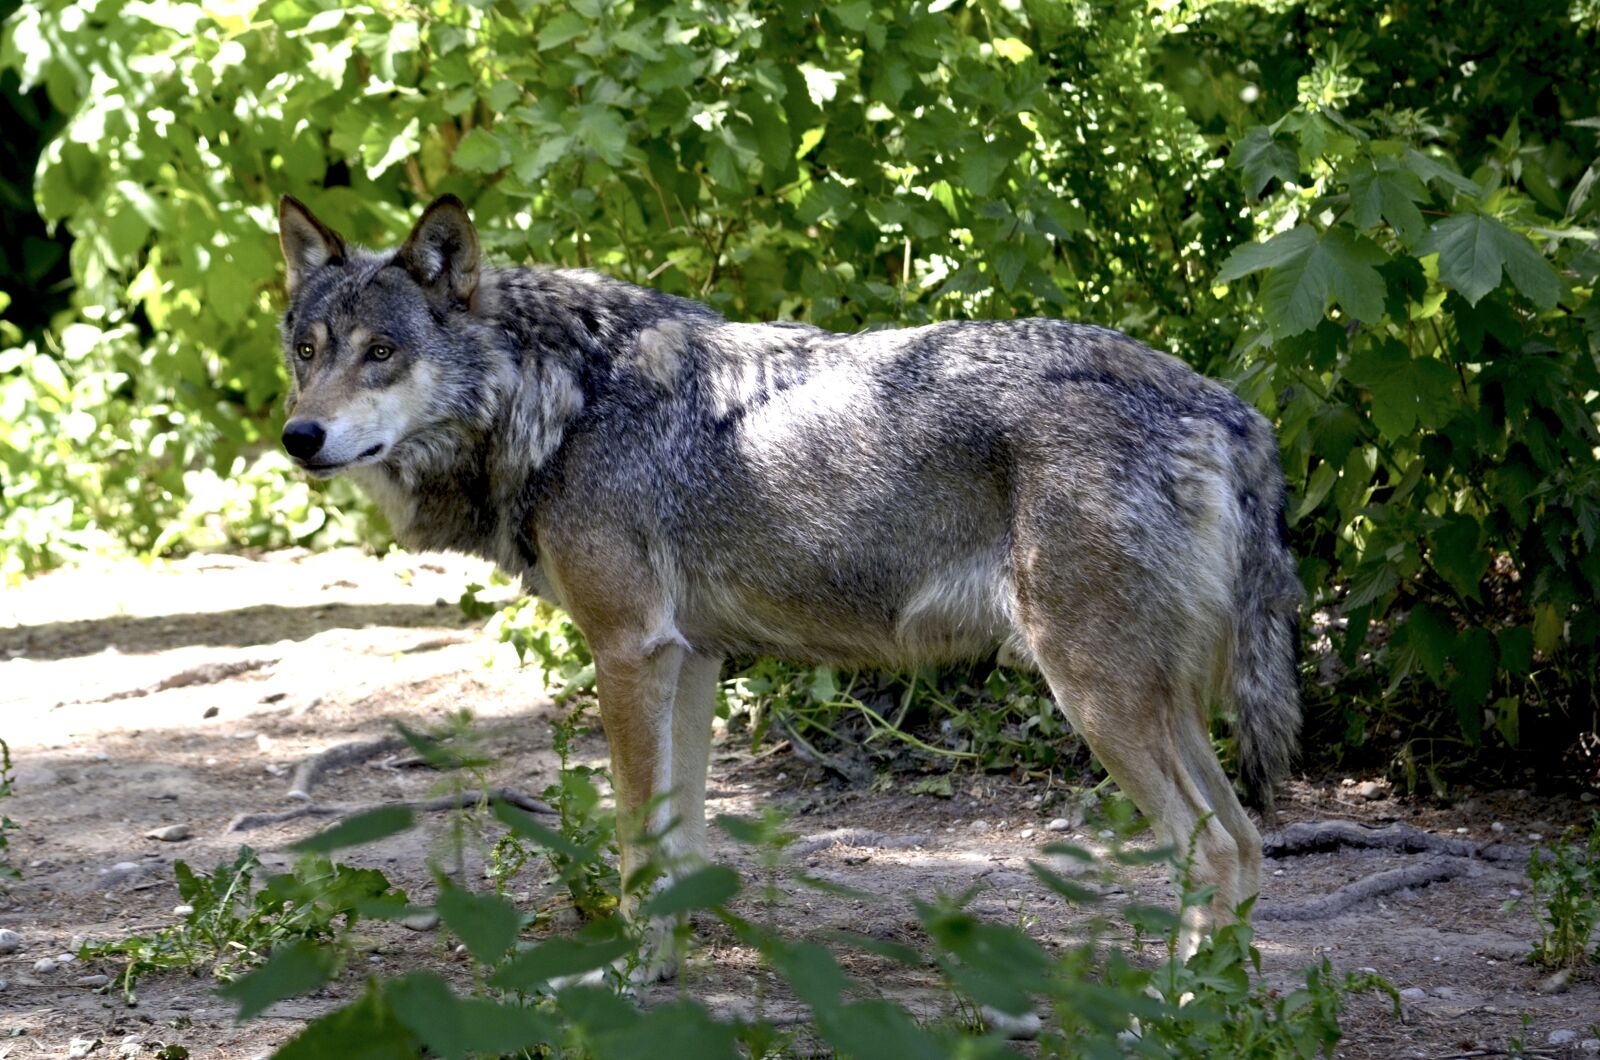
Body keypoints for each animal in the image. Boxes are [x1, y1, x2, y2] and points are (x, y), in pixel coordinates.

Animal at [275, 193, 1302, 956]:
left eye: (382, 353)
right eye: (307, 351)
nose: (298, 436)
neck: (561, 400)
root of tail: (1228, 410)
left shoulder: (629, 651)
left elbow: (634, 842)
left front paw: (624, 980)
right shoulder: (688, 659)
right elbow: (679, 836)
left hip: (1096, 697)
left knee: (1214, 853)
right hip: (1159, 703)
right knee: (1250, 846)